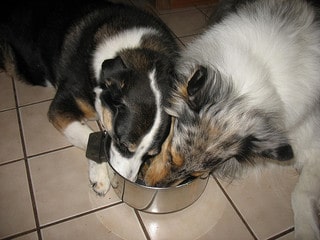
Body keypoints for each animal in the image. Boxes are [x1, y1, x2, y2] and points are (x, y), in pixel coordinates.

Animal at [0, 0, 178, 195]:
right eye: (122, 144)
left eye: (151, 154)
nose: (129, 181)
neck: (137, 51)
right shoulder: (61, 106)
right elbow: (90, 135)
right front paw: (102, 175)